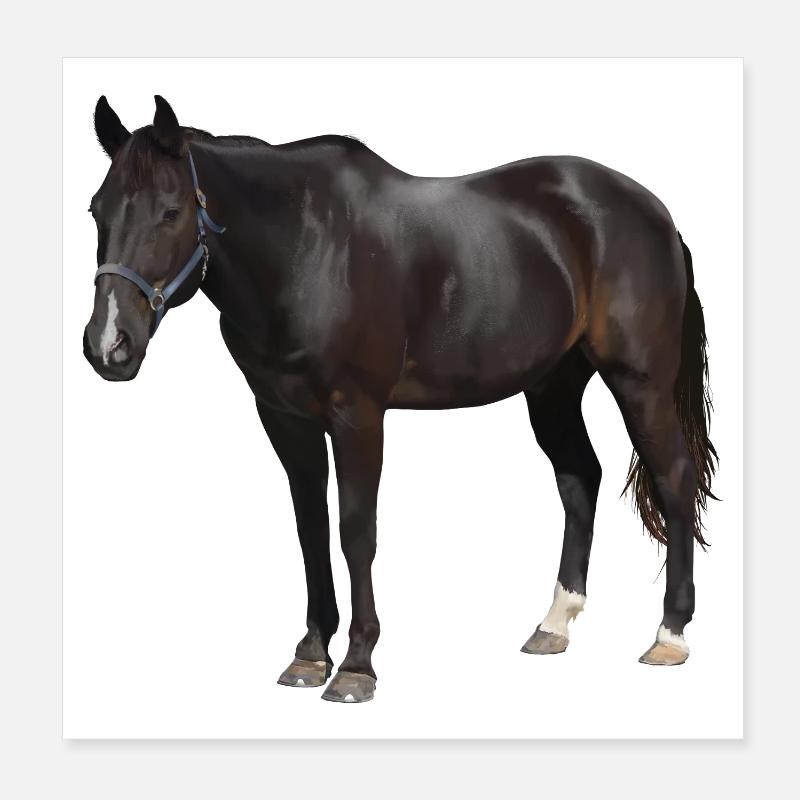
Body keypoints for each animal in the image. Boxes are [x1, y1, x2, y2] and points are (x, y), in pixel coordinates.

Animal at [82, 95, 717, 703]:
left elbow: (355, 532)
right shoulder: (285, 419)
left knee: (674, 476)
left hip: (639, 381)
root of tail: (656, 214)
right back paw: (554, 624)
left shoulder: (358, 416)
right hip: (553, 386)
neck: (305, 247)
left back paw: (670, 634)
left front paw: (356, 666)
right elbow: (310, 530)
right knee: (580, 478)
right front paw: (310, 654)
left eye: (170, 211)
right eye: (96, 210)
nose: (109, 344)